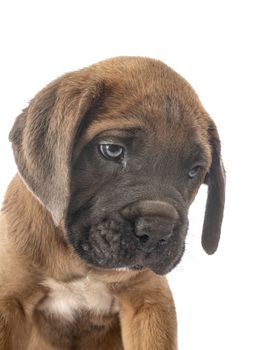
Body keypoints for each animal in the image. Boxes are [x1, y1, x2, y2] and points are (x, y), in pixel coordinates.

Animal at [0, 56, 224, 348]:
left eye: (194, 171)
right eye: (112, 150)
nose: (157, 230)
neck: (80, 262)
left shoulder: (148, 302)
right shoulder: (10, 300)